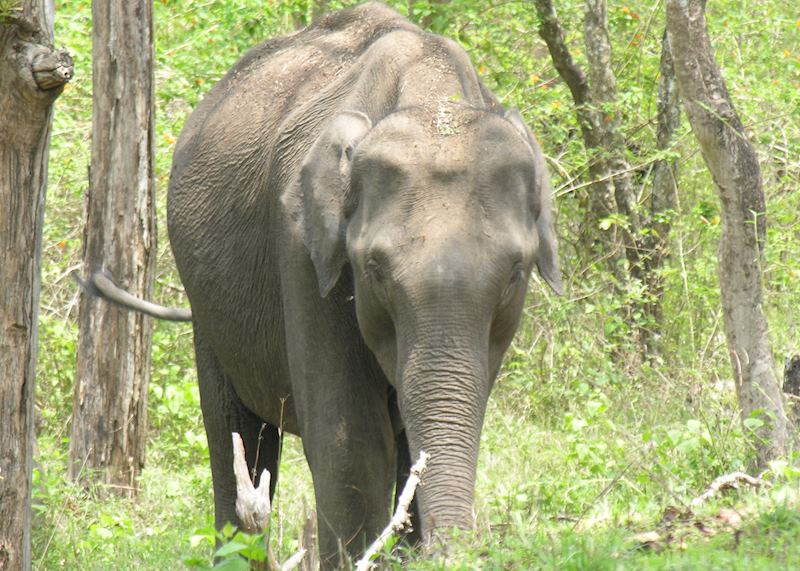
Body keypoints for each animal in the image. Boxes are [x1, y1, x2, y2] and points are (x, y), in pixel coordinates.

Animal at [83, 2, 563, 567]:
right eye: (374, 268)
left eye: (515, 271)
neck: (432, 98)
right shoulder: (302, 250)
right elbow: (350, 440)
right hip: (207, 308)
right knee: (234, 434)